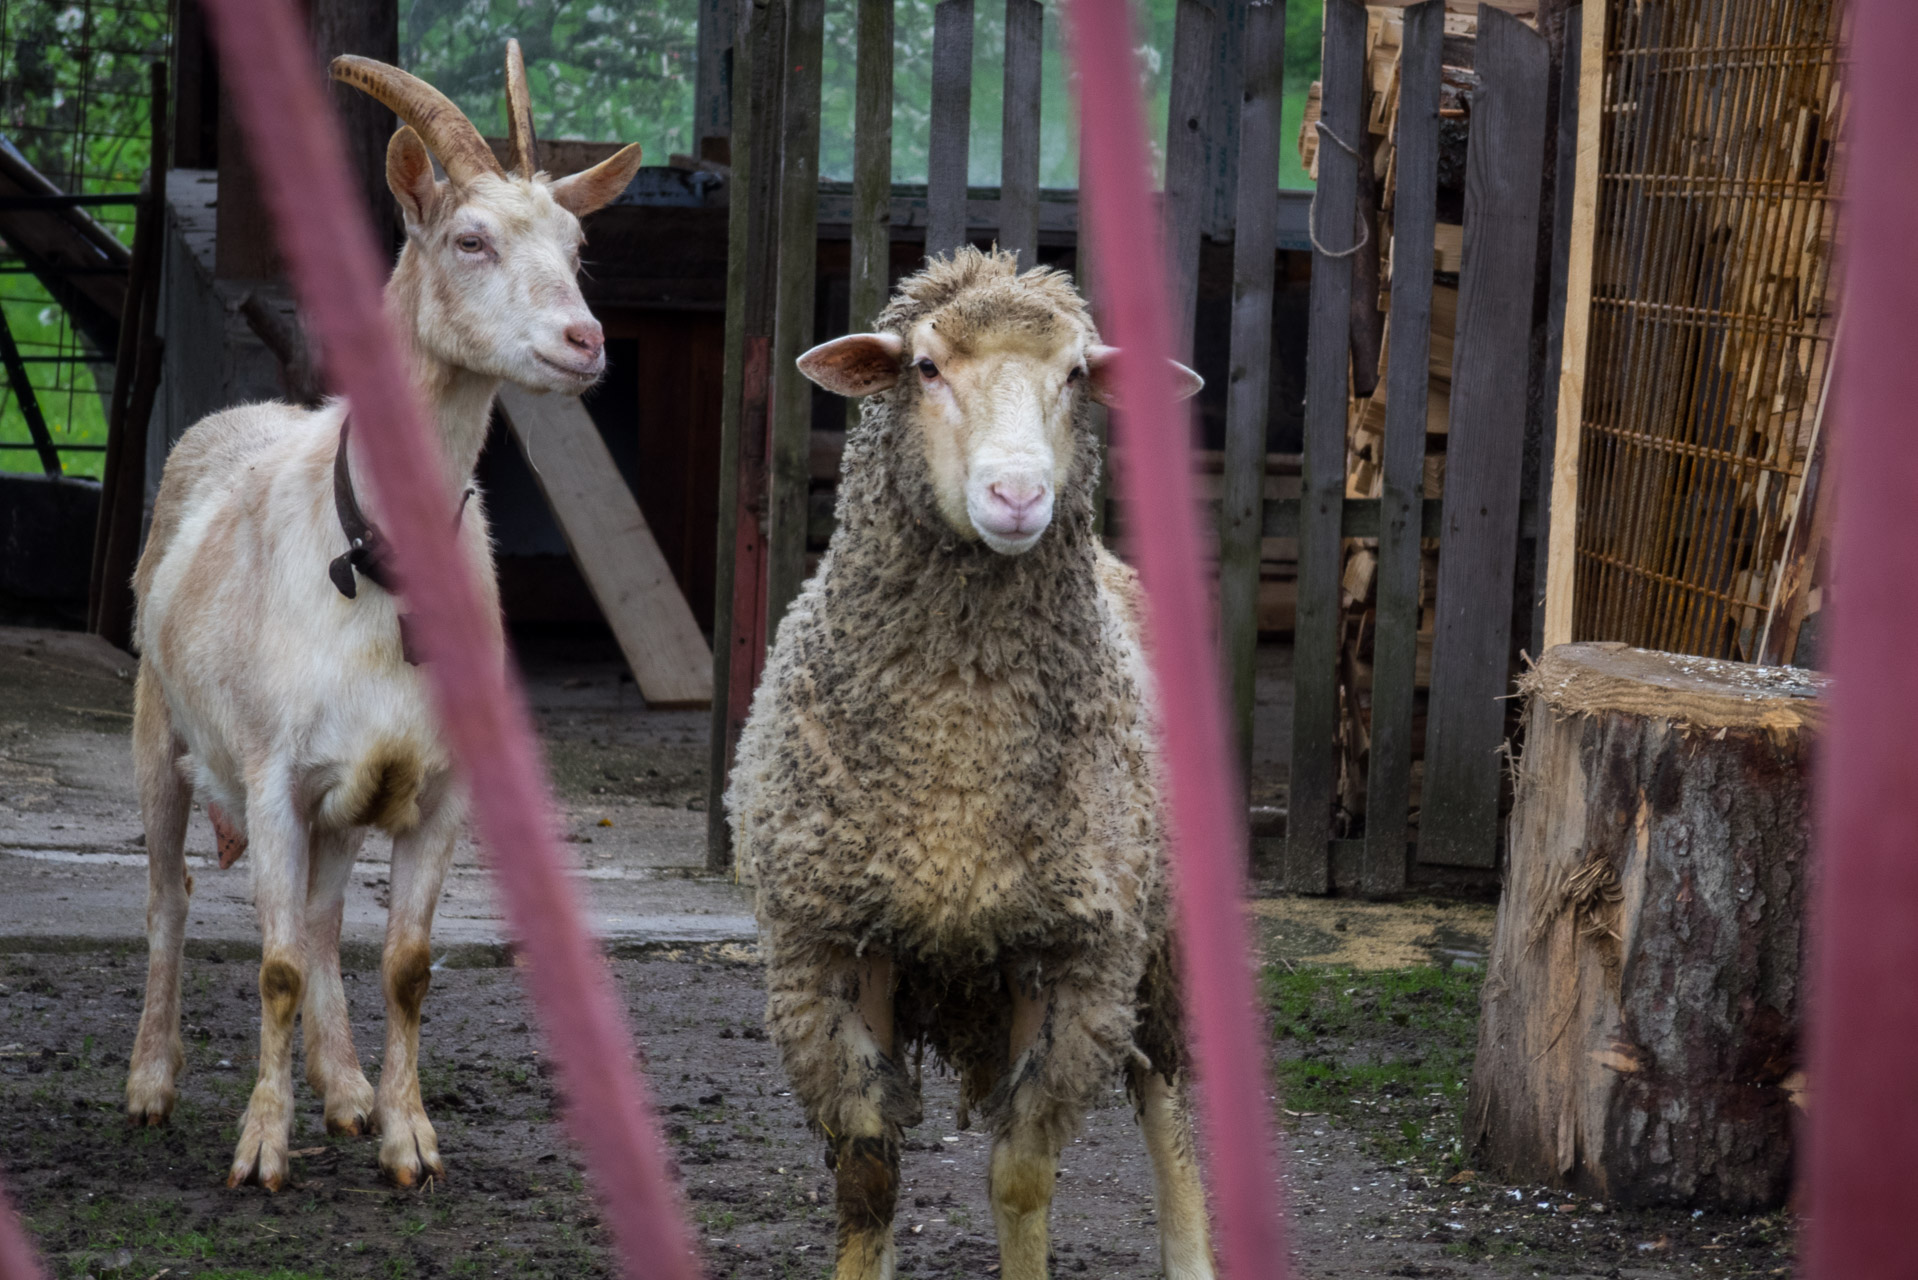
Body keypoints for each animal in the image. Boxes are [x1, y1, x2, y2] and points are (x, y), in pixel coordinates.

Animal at [125, 47, 644, 1189]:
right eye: (470, 239)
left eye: (579, 245)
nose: (583, 340)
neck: (375, 570)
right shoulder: (274, 775)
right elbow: (273, 963)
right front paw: (260, 1151)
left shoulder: (439, 785)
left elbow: (402, 962)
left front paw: (408, 1139)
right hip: (159, 731)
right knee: (173, 894)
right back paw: (151, 1082)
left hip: (343, 799)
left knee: (323, 917)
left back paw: (349, 1090)